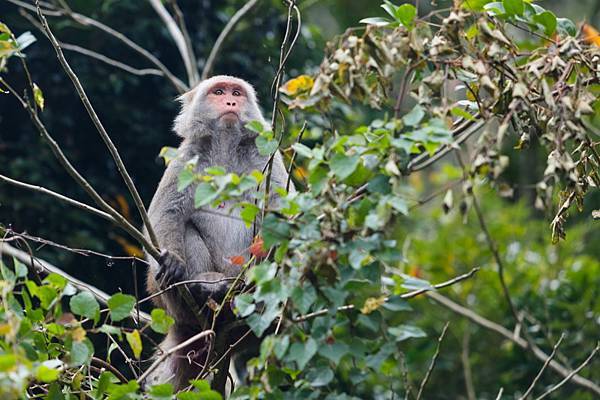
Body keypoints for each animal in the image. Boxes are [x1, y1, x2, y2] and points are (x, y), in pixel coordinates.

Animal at [142, 76, 290, 390]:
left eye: (236, 93)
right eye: (218, 92)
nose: (230, 101)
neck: (226, 146)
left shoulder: (265, 158)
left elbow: (284, 214)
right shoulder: (187, 158)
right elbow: (165, 215)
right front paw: (172, 261)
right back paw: (203, 288)